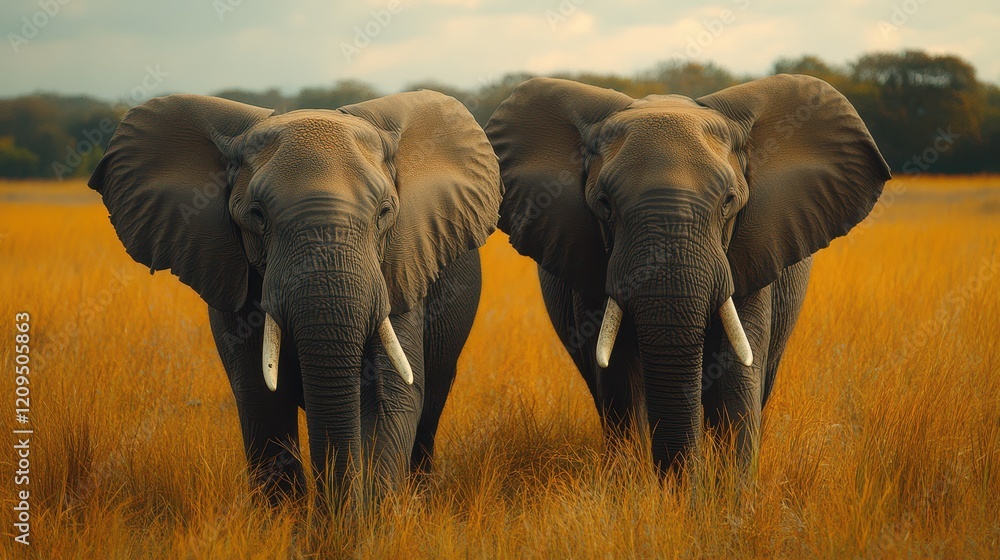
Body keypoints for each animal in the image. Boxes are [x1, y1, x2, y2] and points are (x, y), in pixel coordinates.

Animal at [88, 90, 502, 506]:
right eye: (256, 215)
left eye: (385, 212)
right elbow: (263, 401)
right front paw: (292, 519)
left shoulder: (399, 268)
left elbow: (390, 395)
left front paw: (362, 517)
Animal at [485, 75, 890, 472]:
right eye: (604, 204)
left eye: (728, 202)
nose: (679, 483)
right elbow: (619, 378)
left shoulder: (751, 255)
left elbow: (734, 374)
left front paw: (727, 491)